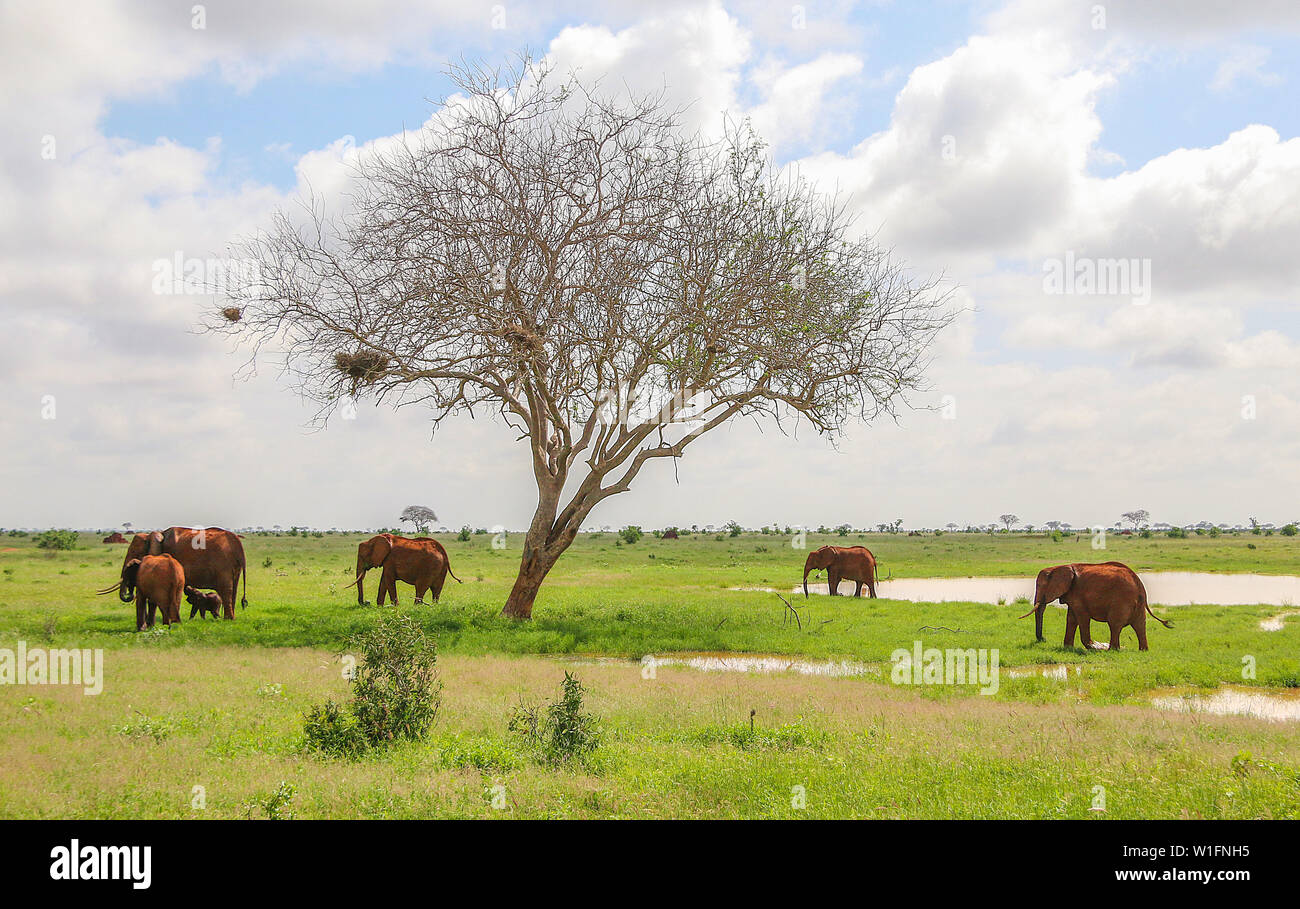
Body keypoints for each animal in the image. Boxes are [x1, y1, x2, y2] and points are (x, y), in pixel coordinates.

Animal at [99, 530, 248, 621]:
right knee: (232, 591)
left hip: (223, 566)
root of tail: (239, 545)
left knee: (225, 591)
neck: (157, 535)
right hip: (233, 568)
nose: (129, 594)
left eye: (134, 552)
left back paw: (227, 619)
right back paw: (230, 619)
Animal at [1019, 559, 1175, 650]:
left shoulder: (1078, 593)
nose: (1043, 639)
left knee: (1115, 624)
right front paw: (1068, 648)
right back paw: (1142, 650)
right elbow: (1071, 618)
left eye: (1041, 587)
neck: (1061, 567)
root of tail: (1140, 585)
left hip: (1121, 600)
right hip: (1137, 604)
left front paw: (1093, 646)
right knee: (1140, 625)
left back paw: (1112, 649)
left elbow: (1082, 617)